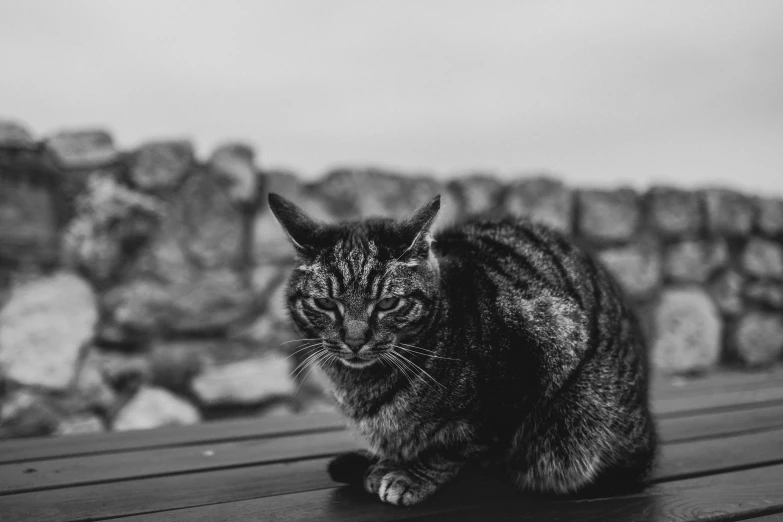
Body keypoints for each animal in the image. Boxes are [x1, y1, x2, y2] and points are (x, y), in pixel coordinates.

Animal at [266, 191, 660, 504]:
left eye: (388, 304)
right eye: (325, 304)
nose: (354, 339)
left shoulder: (541, 353)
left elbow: (457, 446)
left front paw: (411, 474)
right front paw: (388, 462)